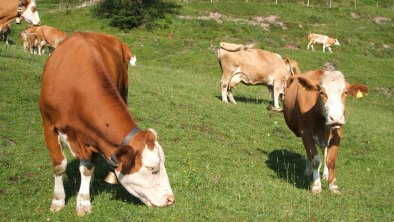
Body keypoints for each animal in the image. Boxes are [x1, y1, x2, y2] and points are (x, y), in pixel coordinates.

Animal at [40, 31, 172, 215]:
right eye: (151, 169)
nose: (171, 199)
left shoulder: (95, 136)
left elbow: (87, 168)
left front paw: (84, 201)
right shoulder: (48, 124)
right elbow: (59, 164)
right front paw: (58, 200)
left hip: (123, 91)